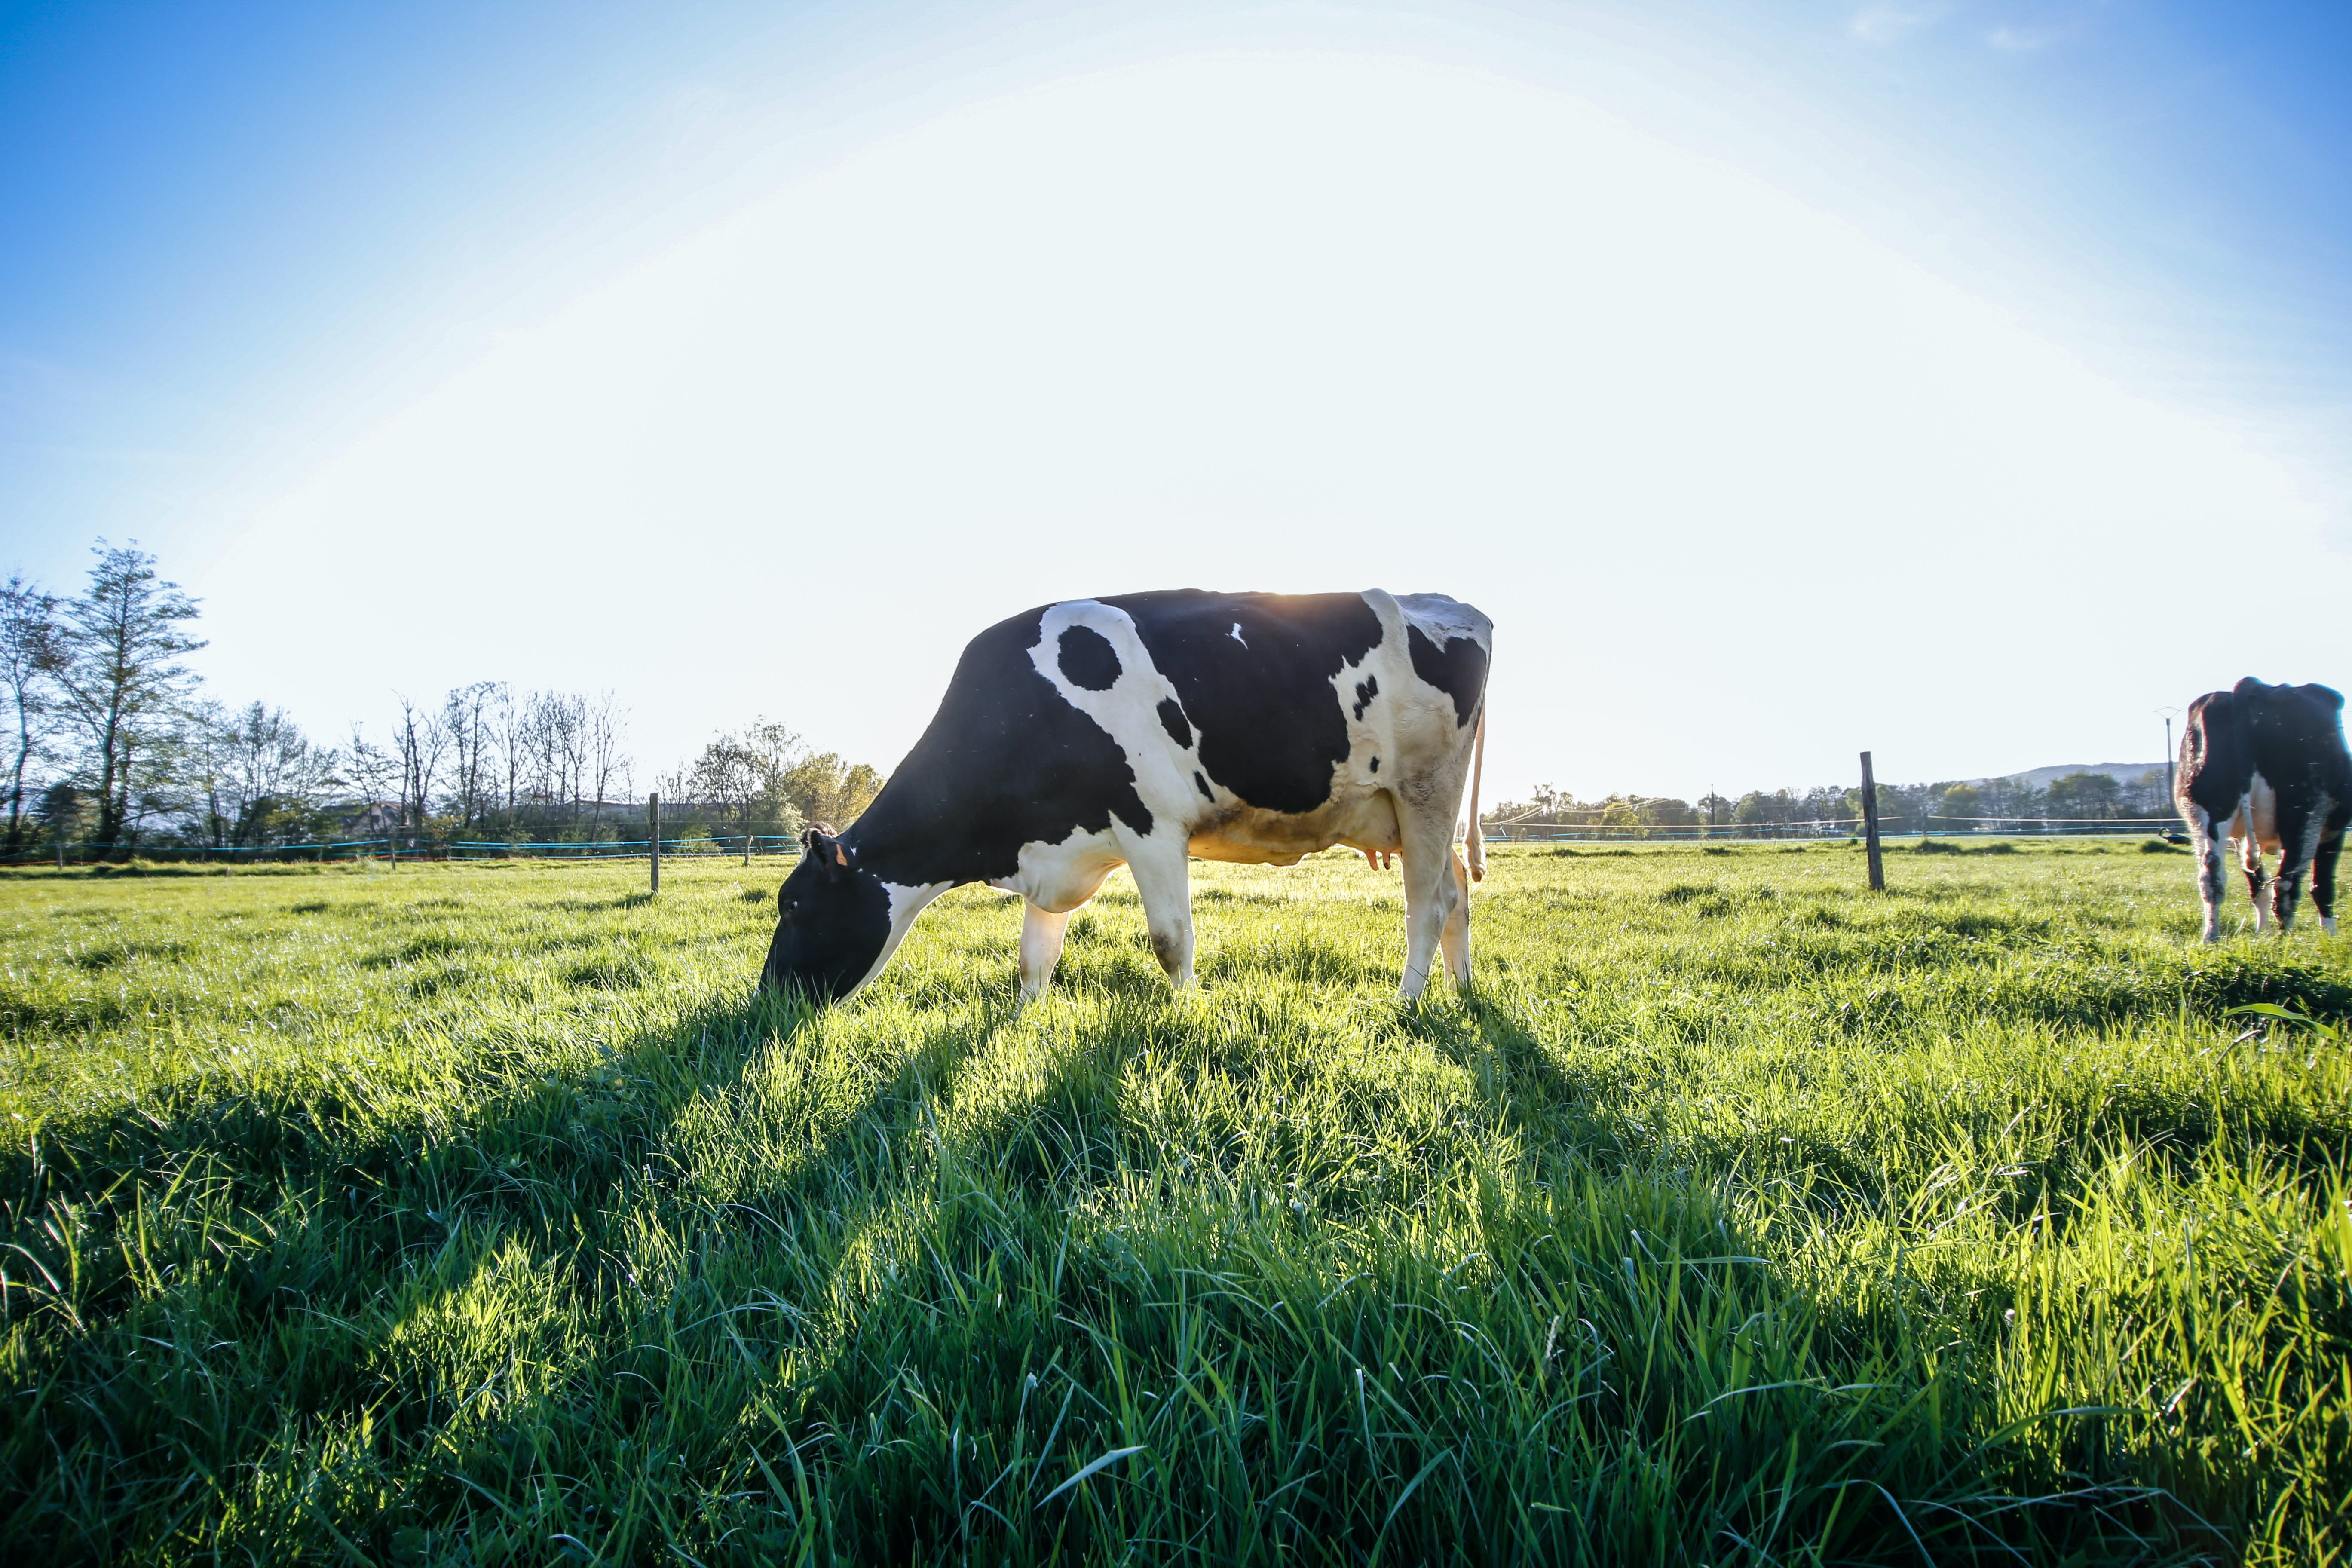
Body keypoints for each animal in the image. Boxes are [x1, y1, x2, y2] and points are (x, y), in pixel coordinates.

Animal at [759, 589, 1492, 1004]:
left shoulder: (1152, 825)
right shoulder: (1055, 843)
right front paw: (1024, 1021)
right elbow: (1034, 957)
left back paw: (1406, 1003)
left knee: (1426, 905)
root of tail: (1452, 605)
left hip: (1426, 791)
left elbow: (1172, 941)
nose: (767, 999)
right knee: (1456, 893)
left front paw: (1188, 1016)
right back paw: (1462, 992)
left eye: (792, 905)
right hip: (1409, 812)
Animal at [2175, 677, 2352, 942]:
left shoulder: (2239, 838)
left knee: (2212, 875)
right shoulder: (2335, 829)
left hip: (2206, 810)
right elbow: (2322, 885)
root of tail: (2253, 686)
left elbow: (2258, 885)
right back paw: (2285, 941)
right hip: (2304, 810)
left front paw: (2263, 933)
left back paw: (2212, 937)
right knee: (2287, 882)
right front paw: (2329, 936)